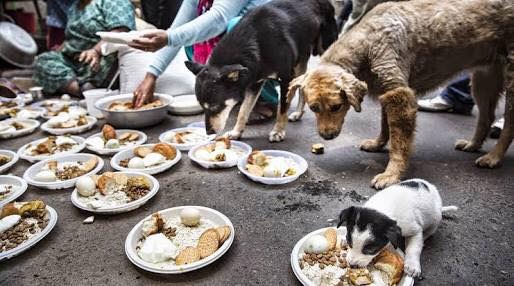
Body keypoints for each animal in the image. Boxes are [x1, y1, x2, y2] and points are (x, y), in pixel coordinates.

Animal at [186, 0, 338, 142]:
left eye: (215, 107)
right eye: (203, 107)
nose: (209, 133)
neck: (254, 39)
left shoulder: (285, 79)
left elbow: (282, 108)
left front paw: (278, 131)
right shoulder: (254, 82)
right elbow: (243, 111)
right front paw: (237, 132)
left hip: (324, 49)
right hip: (301, 59)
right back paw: (299, 113)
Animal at [288, 0, 512, 190]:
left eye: (336, 107)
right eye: (314, 108)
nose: (326, 136)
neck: (368, 42)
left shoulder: (401, 96)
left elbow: (399, 144)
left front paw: (392, 174)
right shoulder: (387, 93)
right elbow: (385, 125)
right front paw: (378, 144)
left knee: (508, 127)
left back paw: (493, 157)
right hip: (483, 80)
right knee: (486, 117)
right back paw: (473, 144)